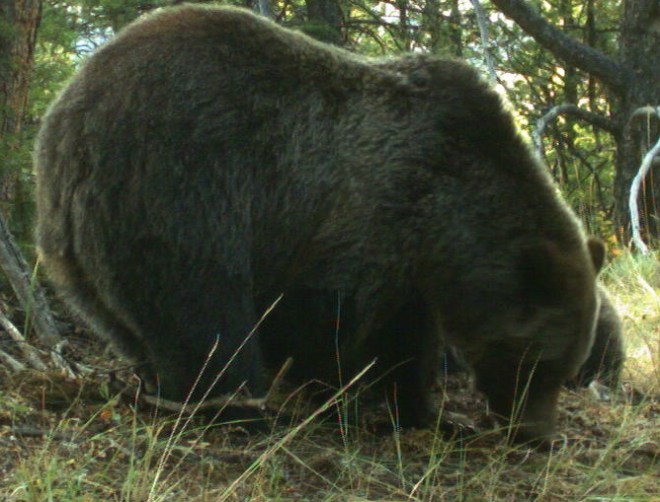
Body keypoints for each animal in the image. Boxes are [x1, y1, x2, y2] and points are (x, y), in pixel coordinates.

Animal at [35, 4, 604, 444]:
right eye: (536, 363)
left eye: (568, 368)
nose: (538, 436)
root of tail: (67, 121)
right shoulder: (365, 211)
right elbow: (323, 318)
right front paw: (340, 398)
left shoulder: (410, 265)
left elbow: (407, 340)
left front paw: (427, 412)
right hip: (177, 188)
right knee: (204, 310)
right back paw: (238, 409)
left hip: (78, 256)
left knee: (134, 323)